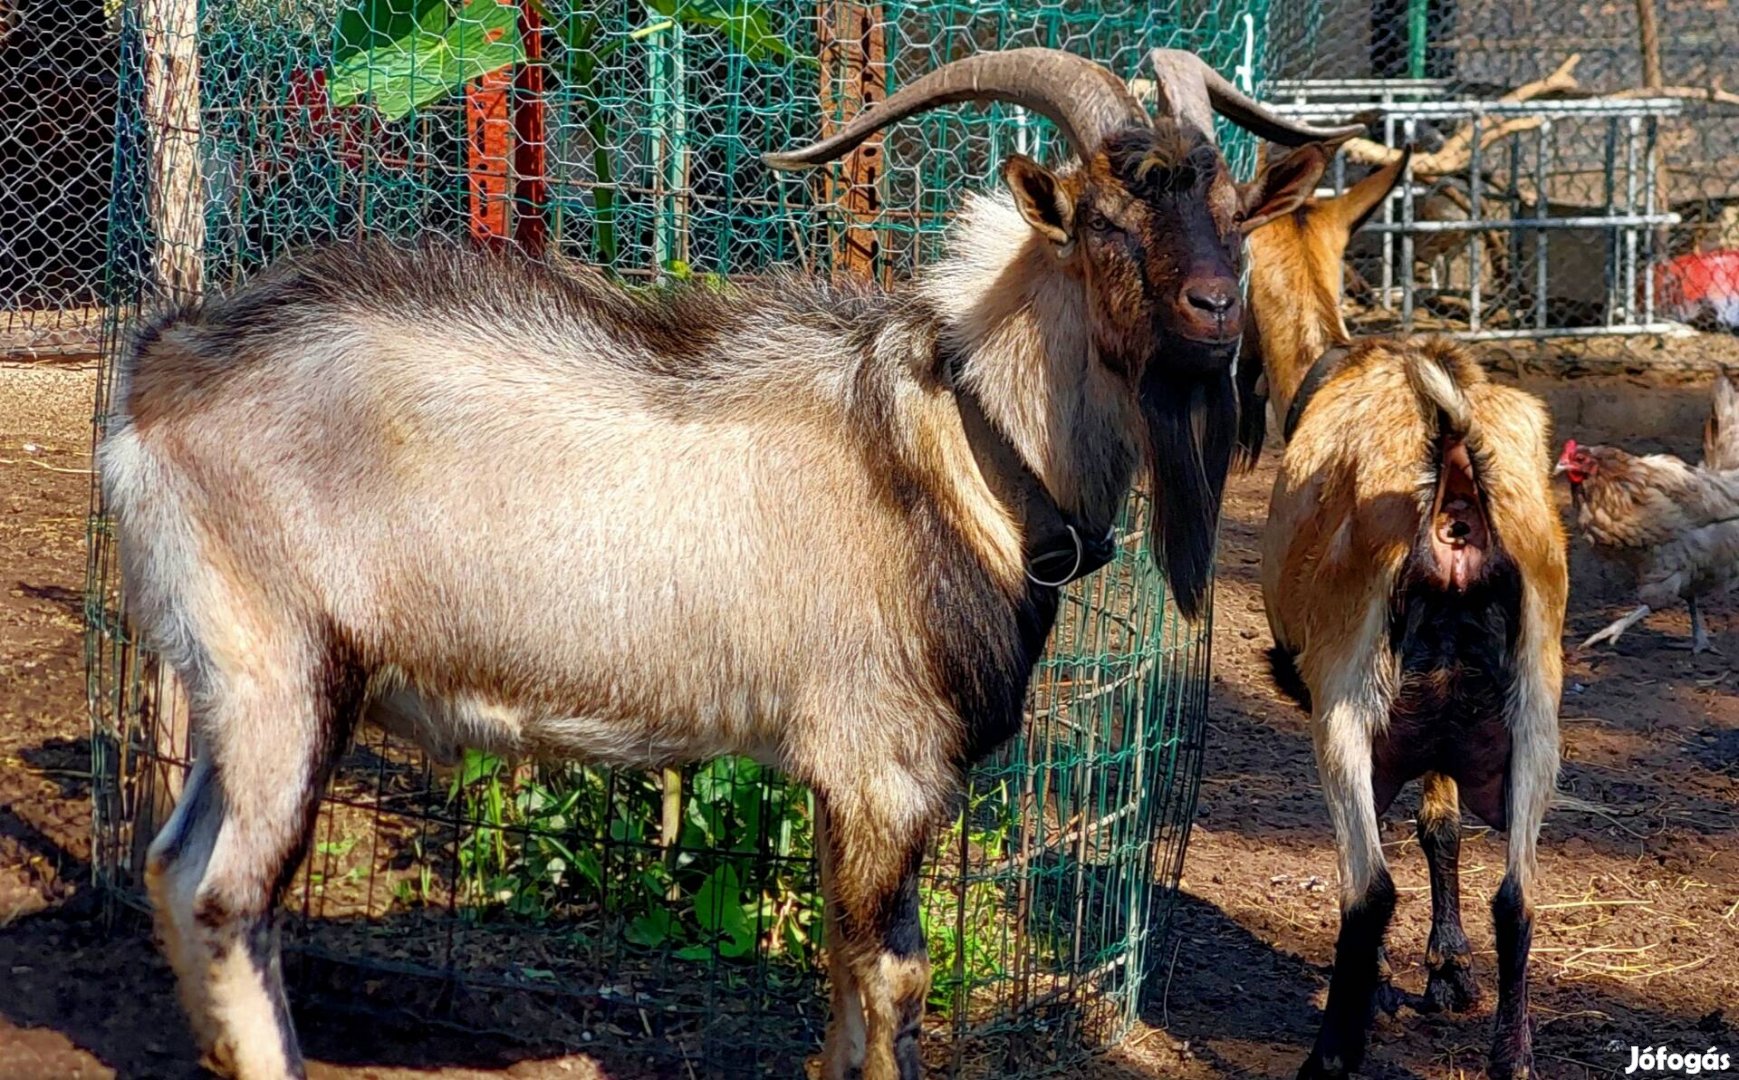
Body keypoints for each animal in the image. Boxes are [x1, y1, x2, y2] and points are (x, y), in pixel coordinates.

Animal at [101, 48, 1363, 1078]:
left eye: (1232, 211)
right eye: (1104, 219)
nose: (1215, 309)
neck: (962, 445)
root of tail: (159, 379)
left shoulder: (848, 776)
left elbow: (852, 973)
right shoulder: (881, 763)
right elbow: (889, 976)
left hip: (231, 684)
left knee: (172, 866)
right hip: (284, 670)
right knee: (228, 896)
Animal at [1245, 155, 1572, 1071]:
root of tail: (1454, 483)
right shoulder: (1444, 723)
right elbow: (1442, 821)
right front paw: (1448, 970)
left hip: (1346, 708)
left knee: (1368, 891)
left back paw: (1331, 1053)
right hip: (1532, 712)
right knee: (1518, 900)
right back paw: (1511, 1057)